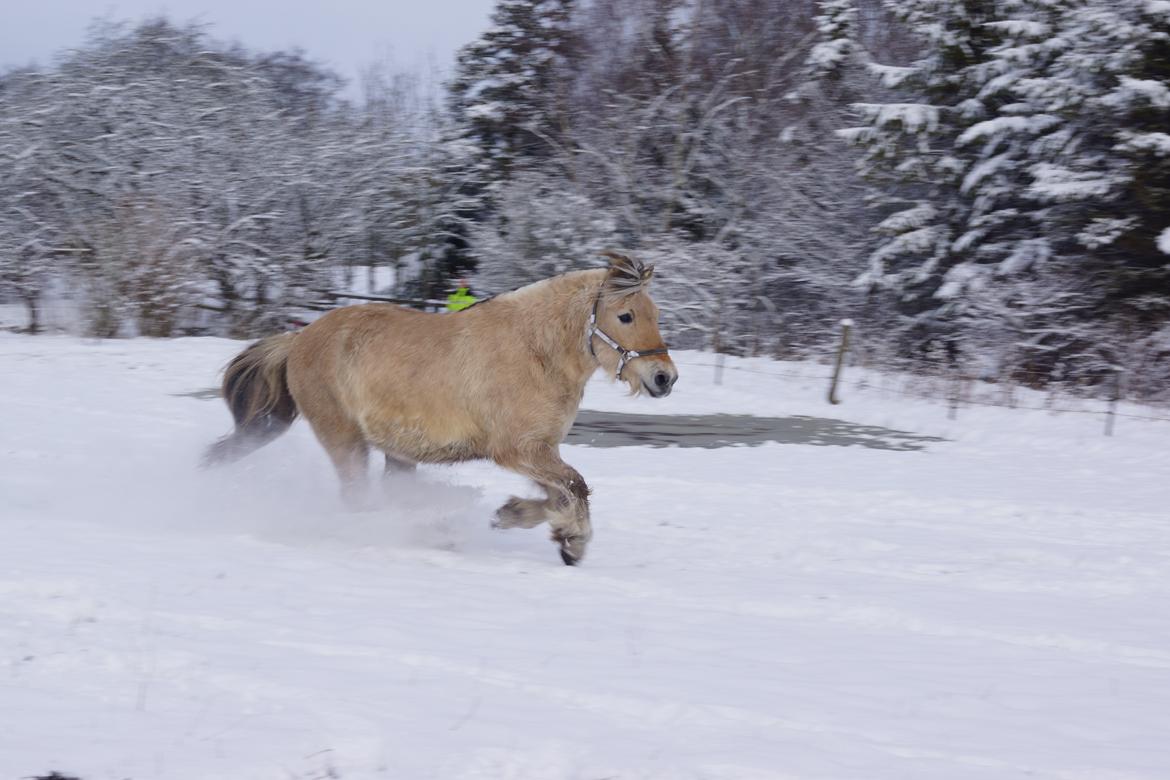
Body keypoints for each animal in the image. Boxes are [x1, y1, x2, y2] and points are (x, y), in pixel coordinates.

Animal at [201, 253, 678, 563]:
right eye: (626, 316)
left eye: (654, 312)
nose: (664, 378)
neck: (533, 351)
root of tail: (299, 338)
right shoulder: (516, 449)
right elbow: (576, 487)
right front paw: (573, 542)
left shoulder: (541, 450)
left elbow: (562, 492)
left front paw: (516, 517)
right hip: (345, 440)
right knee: (358, 500)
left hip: (396, 452)